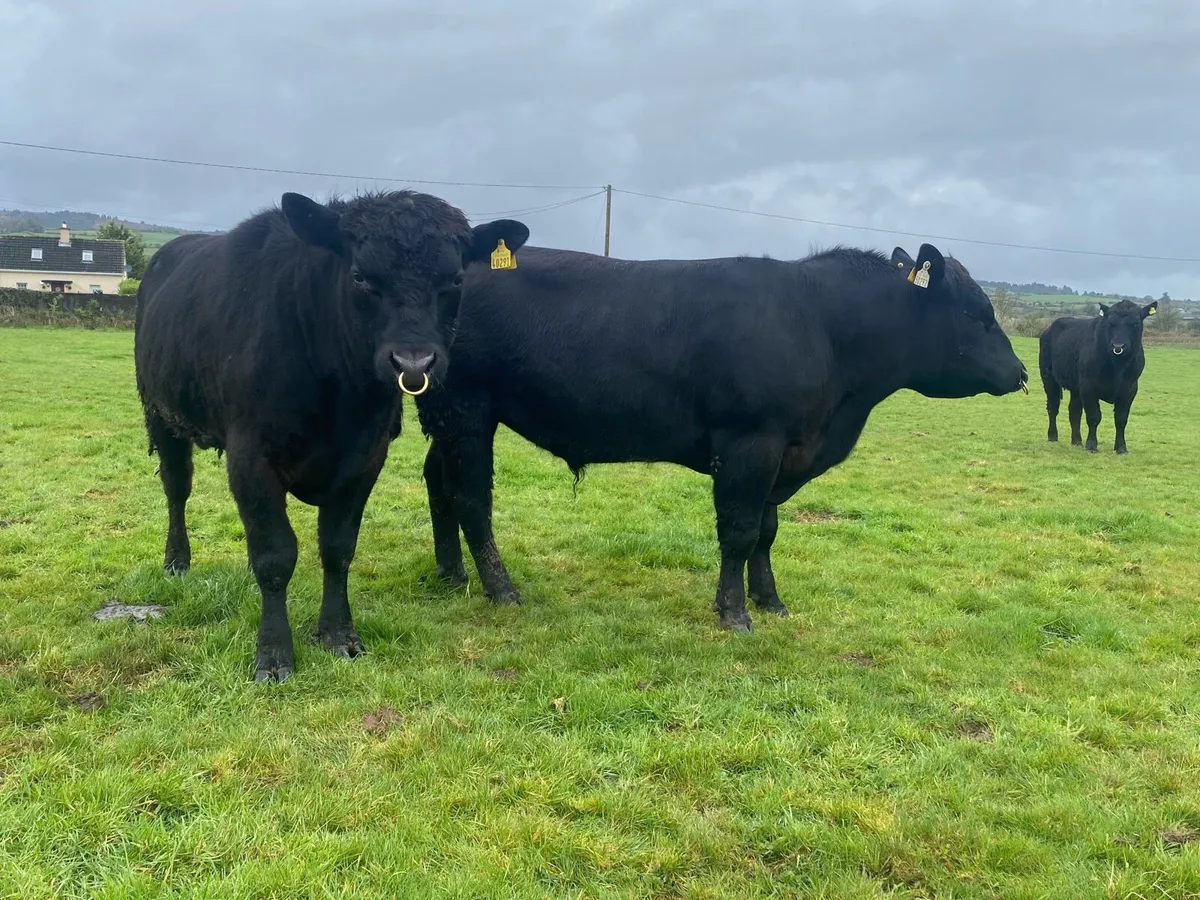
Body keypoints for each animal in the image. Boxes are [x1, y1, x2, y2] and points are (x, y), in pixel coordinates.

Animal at [134, 190, 529, 682]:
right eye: (360, 276)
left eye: (456, 278)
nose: (414, 364)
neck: (339, 397)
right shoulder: (250, 456)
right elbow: (275, 555)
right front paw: (273, 655)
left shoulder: (365, 457)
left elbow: (338, 548)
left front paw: (339, 635)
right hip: (160, 413)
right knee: (176, 487)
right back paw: (176, 561)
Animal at [414, 242, 1029, 633]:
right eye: (974, 314)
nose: (1022, 372)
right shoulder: (748, 442)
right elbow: (738, 531)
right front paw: (734, 613)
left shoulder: (782, 452)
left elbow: (766, 533)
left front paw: (771, 600)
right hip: (468, 407)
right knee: (471, 497)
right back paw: (501, 589)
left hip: (447, 414)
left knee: (437, 483)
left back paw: (451, 573)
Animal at [1038, 299, 1157, 454]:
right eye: (1110, 323)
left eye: (1135, 323)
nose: (1118, 346)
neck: (1117, 366)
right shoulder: (1088, 387)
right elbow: (1094, 417)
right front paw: (1091, 445)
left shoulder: (1129, 389)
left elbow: (1121, 419)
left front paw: (1121, 447)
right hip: (1048, 377)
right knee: (1053, 407)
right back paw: (1053, 436)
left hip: (1076, 388)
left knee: (1074, 411)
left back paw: (1076, 441)